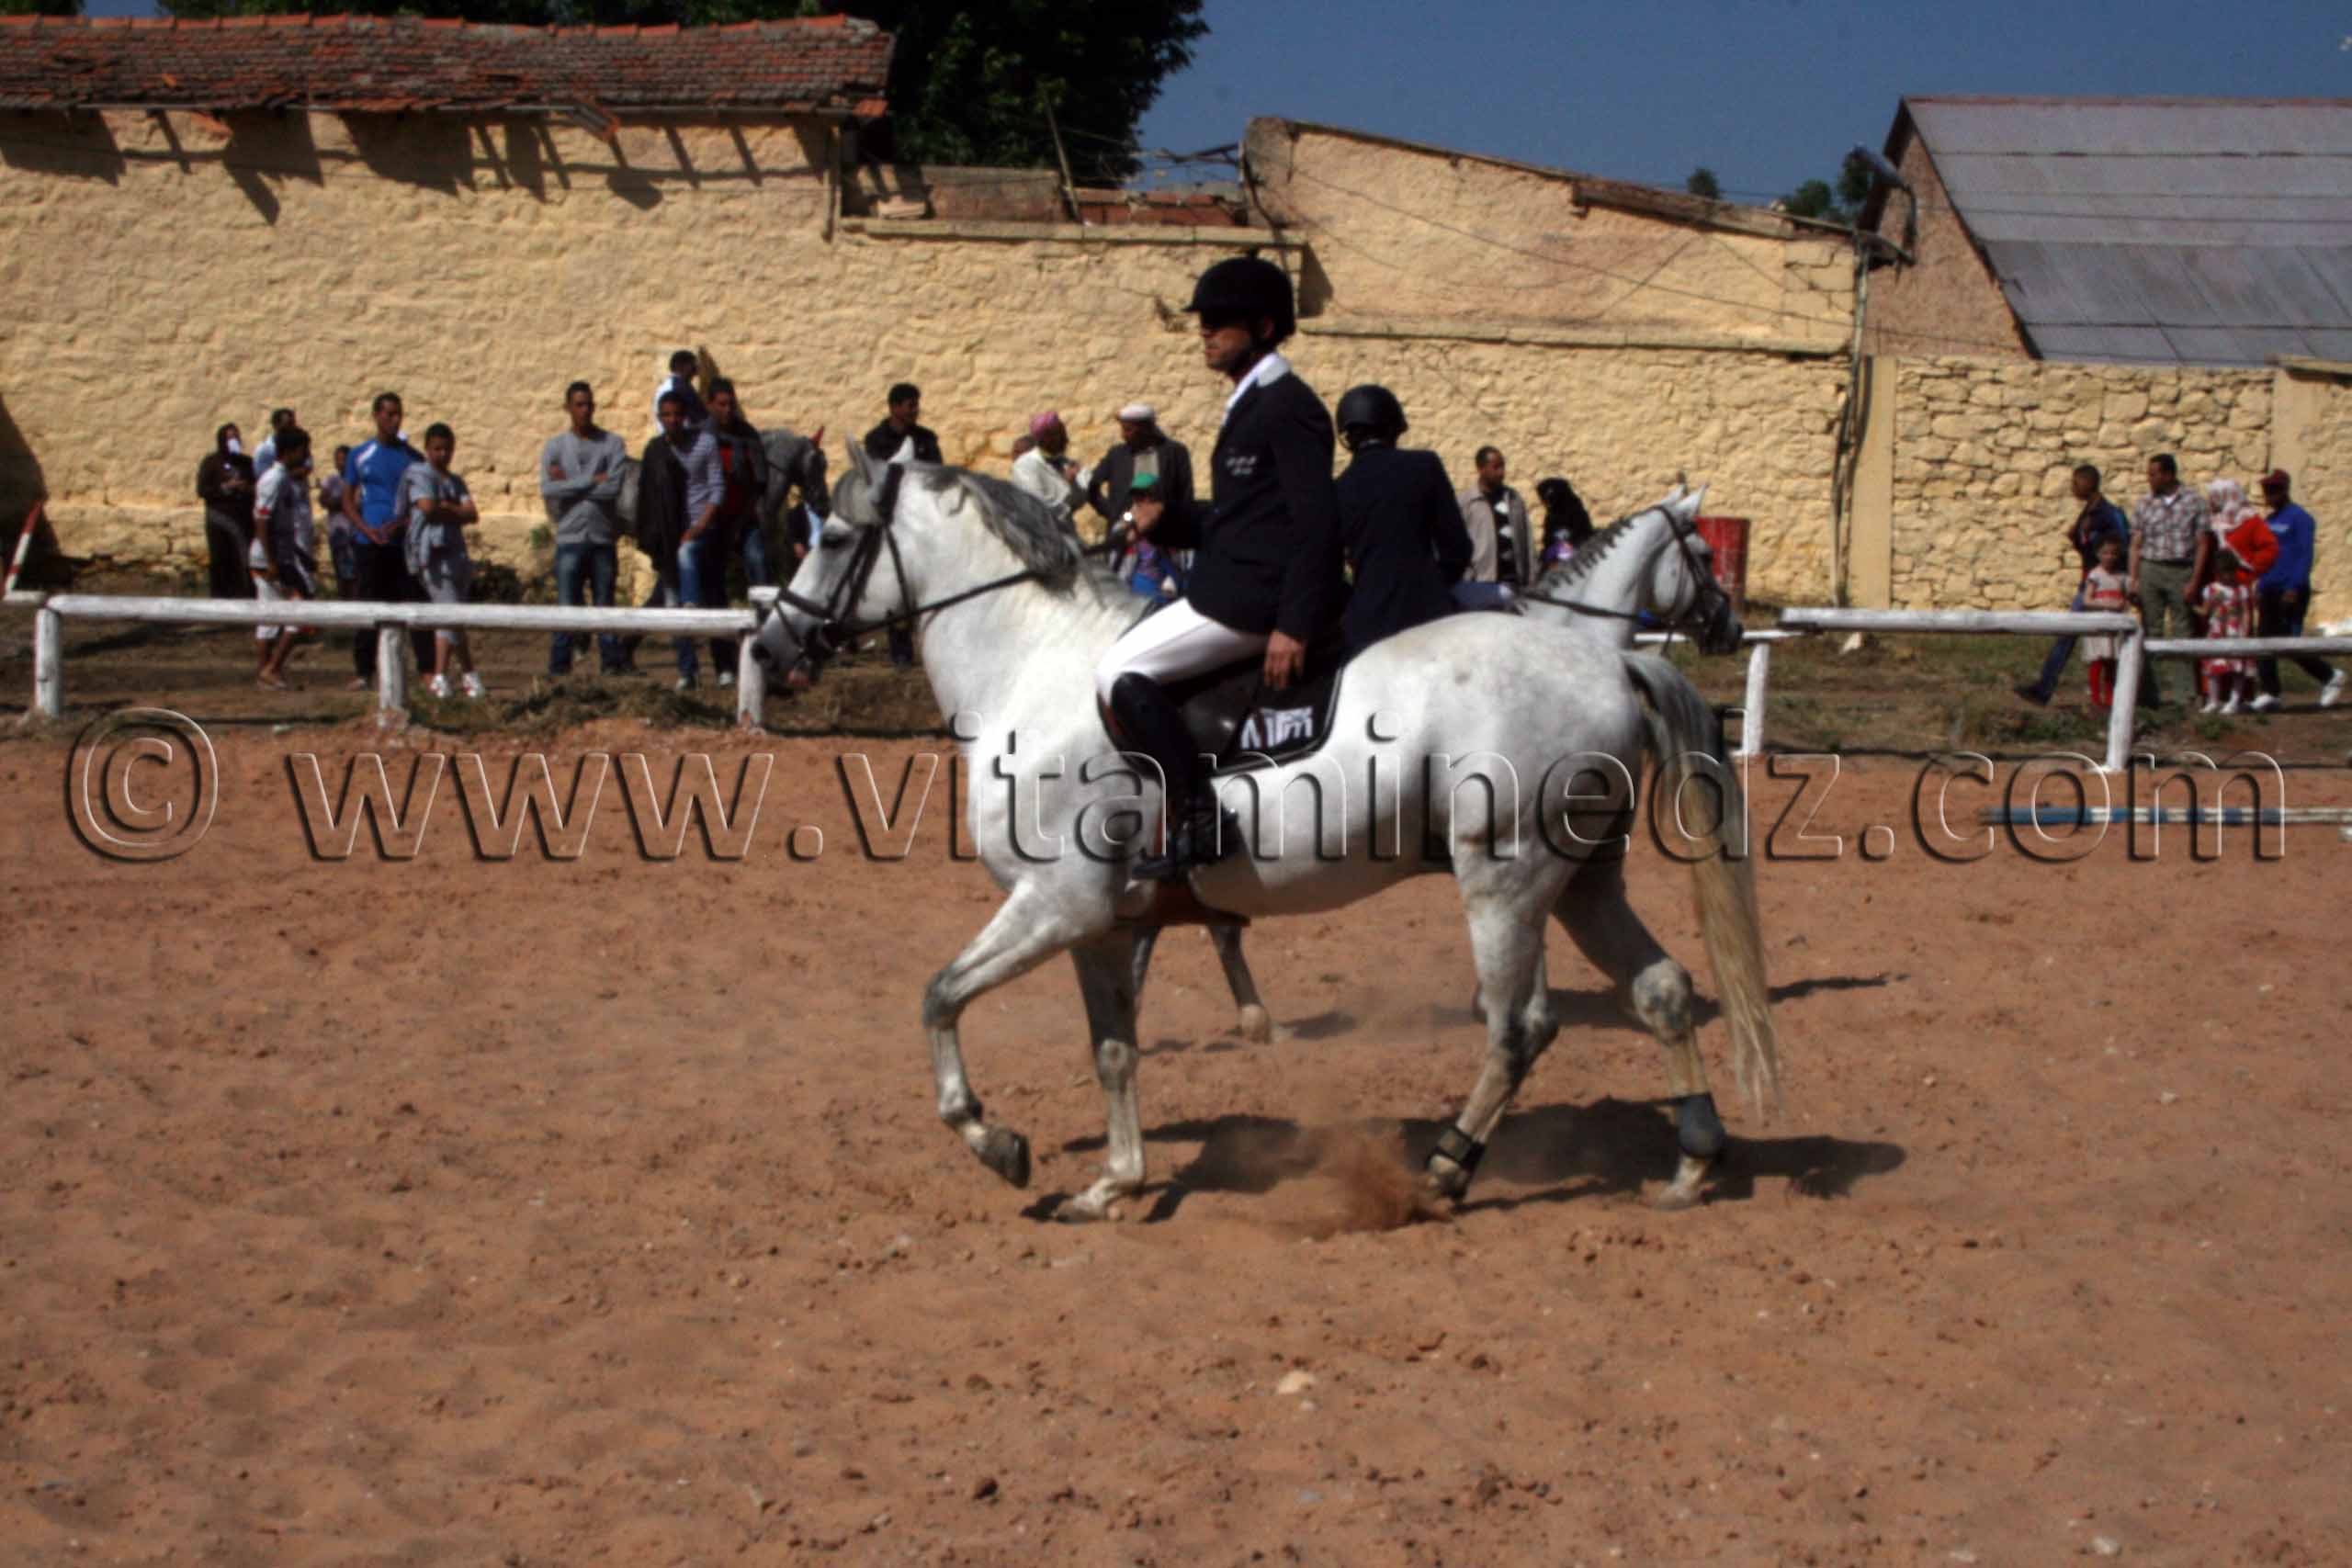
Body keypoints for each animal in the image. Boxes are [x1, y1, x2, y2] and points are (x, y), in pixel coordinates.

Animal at [755, 445, 1782, 1221]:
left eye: (834, 537)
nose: (768, 647)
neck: (1036, 667)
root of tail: (1606, 668)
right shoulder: (1101, 924)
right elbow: (1112, 1048)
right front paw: (1113, 1184)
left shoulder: (1057, 904)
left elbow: (938, 997)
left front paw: (996, 1141)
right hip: (1579, 881)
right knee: (1658, 989)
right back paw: (1690, 1163)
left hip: (1505, 881)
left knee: (1518, 1027)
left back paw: (1442, 1170)